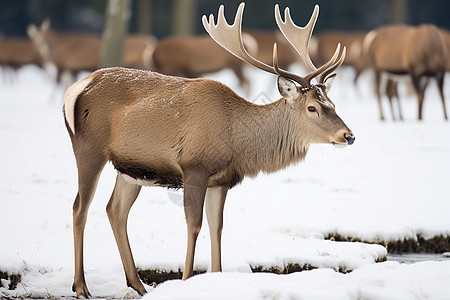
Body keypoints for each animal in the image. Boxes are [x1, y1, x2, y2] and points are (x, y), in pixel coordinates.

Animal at [64, 2, 356, 298]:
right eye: (312, 108)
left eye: (332, 103)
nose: (349, 136)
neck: (236, 141)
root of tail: (76, 89)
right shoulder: (194, 167)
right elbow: (194, 225)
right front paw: (185, 280)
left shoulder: (222, 180)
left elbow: (217, 227)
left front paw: (215, 279)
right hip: (89, 147)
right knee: (79, 208)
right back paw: (81, 286)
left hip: (131, 169)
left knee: (115, 210)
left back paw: (138, 284)